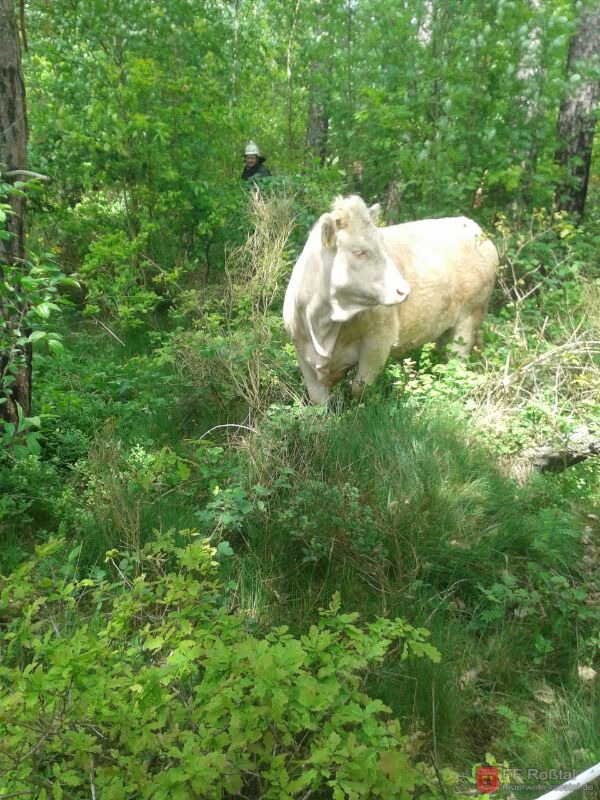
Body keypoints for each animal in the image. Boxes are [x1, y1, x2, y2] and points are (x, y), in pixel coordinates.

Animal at [283, 195, 498, 404]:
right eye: (358, 251)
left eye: (383, 245)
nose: (404, 290)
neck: (323, 325)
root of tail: (473, 227)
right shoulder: (301, 349)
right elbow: (317, 399)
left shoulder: (378, 343)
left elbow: (360, 388)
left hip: (468, 318)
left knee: (457, 362)